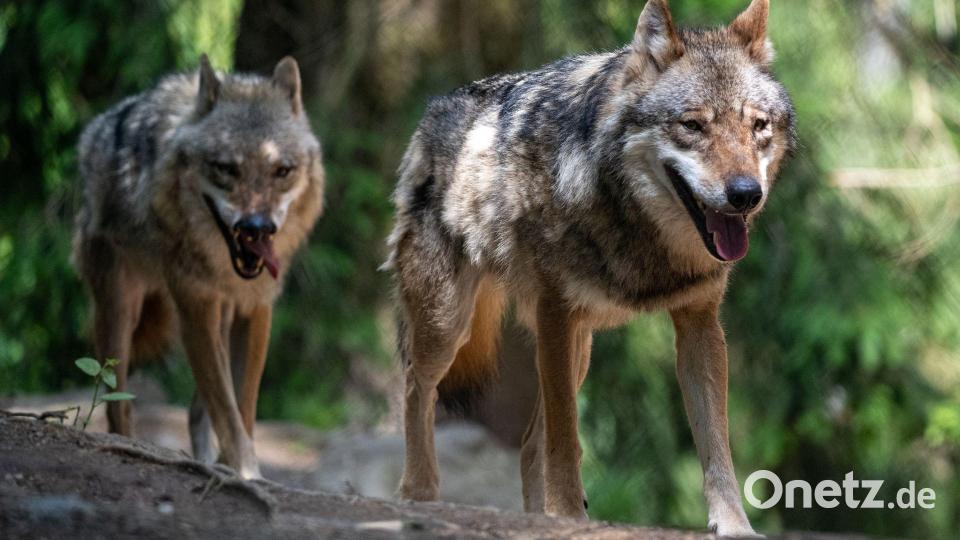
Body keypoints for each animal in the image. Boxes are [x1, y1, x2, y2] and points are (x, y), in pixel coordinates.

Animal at [73, 55, 324, 478]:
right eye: (225, 168)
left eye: (282, 171)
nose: (256, 228)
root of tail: (95, 131)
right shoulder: (195, 305)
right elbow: (227, 409)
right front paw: (245, 470)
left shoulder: (255, 309)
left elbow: (243, 406)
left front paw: (239, 468)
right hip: (119, 315)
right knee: (118, 405)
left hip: (219, 318)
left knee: (194, 411)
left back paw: (208, 461)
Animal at [386, 0, 794, 535]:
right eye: (693, 125)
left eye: (758, 126)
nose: (746, 194)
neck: (635, 224)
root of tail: (435, 109)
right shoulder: (557, 315)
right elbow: (566, 441)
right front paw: (566, 515)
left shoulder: (700, 324)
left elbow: (716, 446)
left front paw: (733, 525)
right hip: (449, 325)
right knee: (417, 387)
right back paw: (419, 493)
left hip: (577, 349)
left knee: (527, 445)